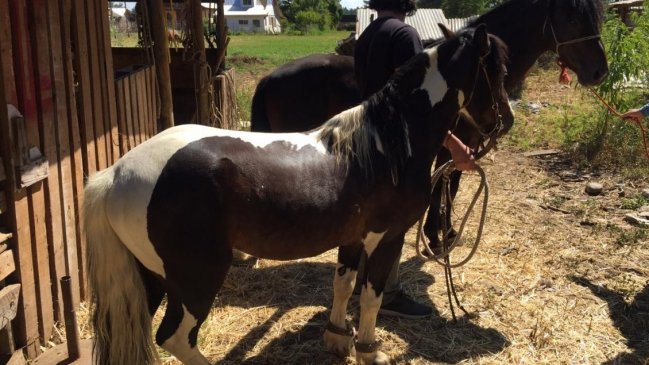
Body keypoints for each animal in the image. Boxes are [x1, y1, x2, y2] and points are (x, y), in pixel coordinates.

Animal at [85, 24, 512, 364]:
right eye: (499, 71)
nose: (504, 122)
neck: (387, 142)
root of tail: (115, 174)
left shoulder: (352, 238)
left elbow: (342, 285)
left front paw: (337, 340)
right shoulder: (386, 237)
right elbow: (370, 297)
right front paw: (368, 351)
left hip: (148, 278)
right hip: (196, 278)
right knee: (175, 338)